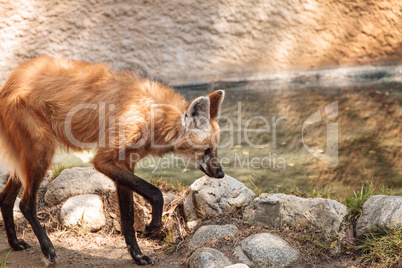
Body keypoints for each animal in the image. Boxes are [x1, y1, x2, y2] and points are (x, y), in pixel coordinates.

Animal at [0, 55, 226, 264]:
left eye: (215, 149)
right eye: (206, 150)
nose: (221, 174)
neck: (151, 115)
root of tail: (10, 81)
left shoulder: (125, 163)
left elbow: (128, 217)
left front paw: (137, 255)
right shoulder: (105, 161)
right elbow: (156, 193)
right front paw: (152, 227)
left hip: (28, 159)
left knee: (5, 198)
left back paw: (15, 243)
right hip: (41, 155)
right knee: (26, 204)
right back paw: (48, 250)